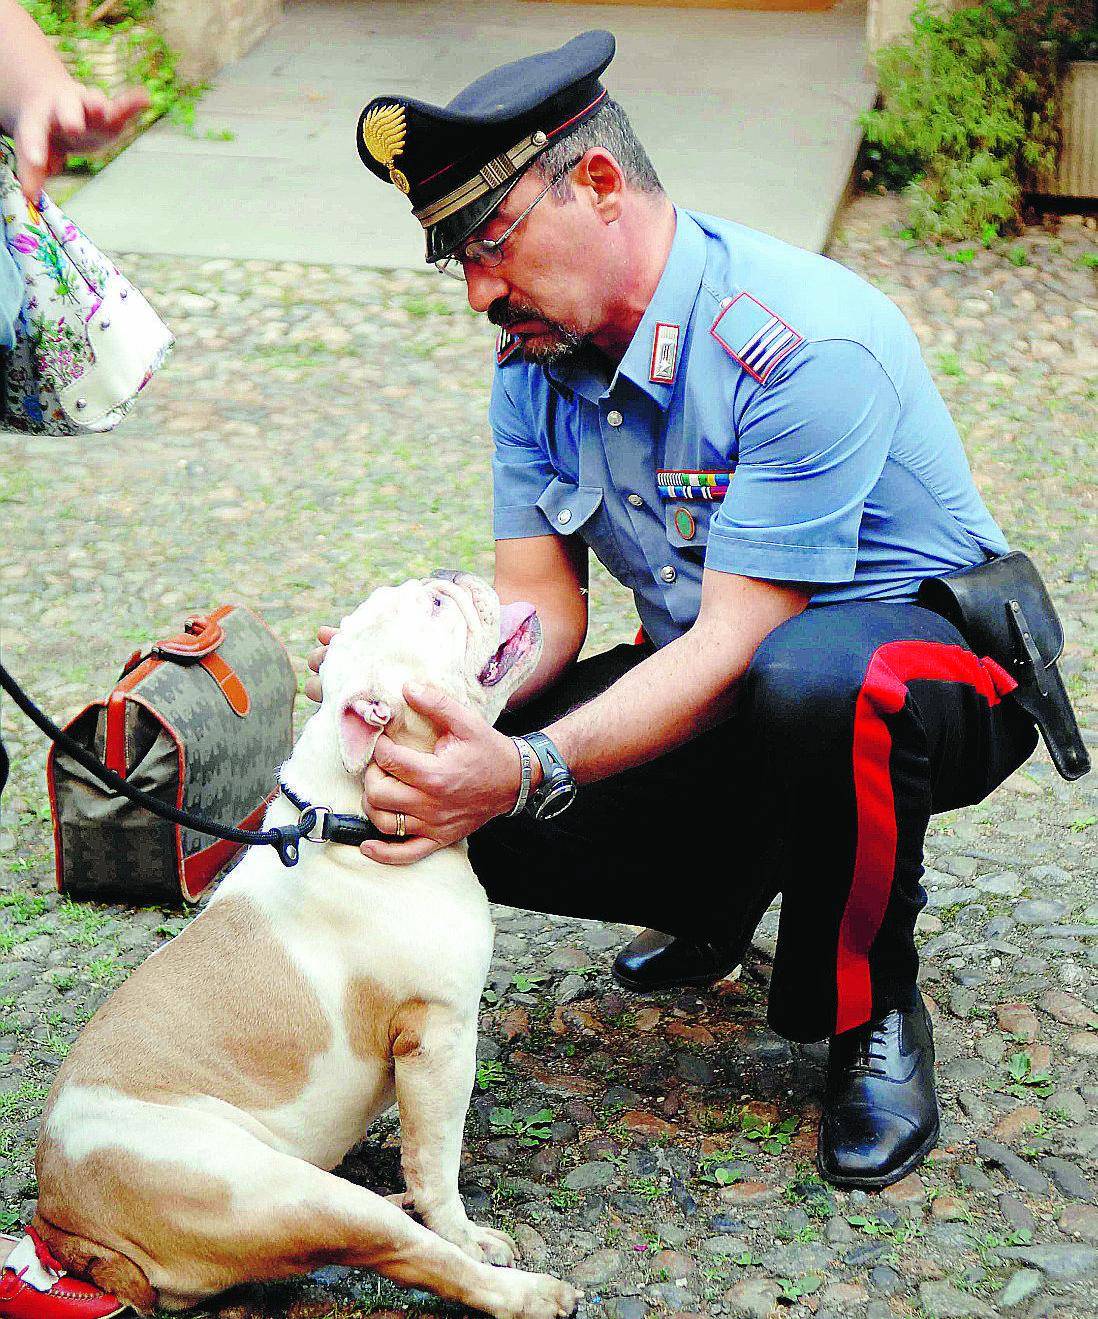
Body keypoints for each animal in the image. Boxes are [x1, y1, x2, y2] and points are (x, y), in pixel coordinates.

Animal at [25, 572, 578, 1319]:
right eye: (437, 607)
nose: (455, 576)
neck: (349, 812)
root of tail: (62, 1221)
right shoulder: (437, 1040)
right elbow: (437, 1162)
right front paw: (463, 1227)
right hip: (284, 1192)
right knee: (414, 1250)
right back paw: (524, 1290)